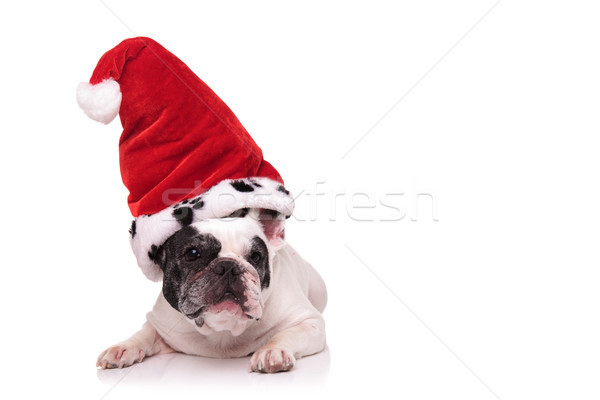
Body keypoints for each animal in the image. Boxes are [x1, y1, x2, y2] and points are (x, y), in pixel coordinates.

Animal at [96, 211, 326, 374]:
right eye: (193, 253)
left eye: (256, 256)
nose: (228, 266)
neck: (223, 328)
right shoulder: (161, 323)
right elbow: (145, 333)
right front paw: (123, 348)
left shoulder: (310, 322)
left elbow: (287, 333)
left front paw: (272, 351)